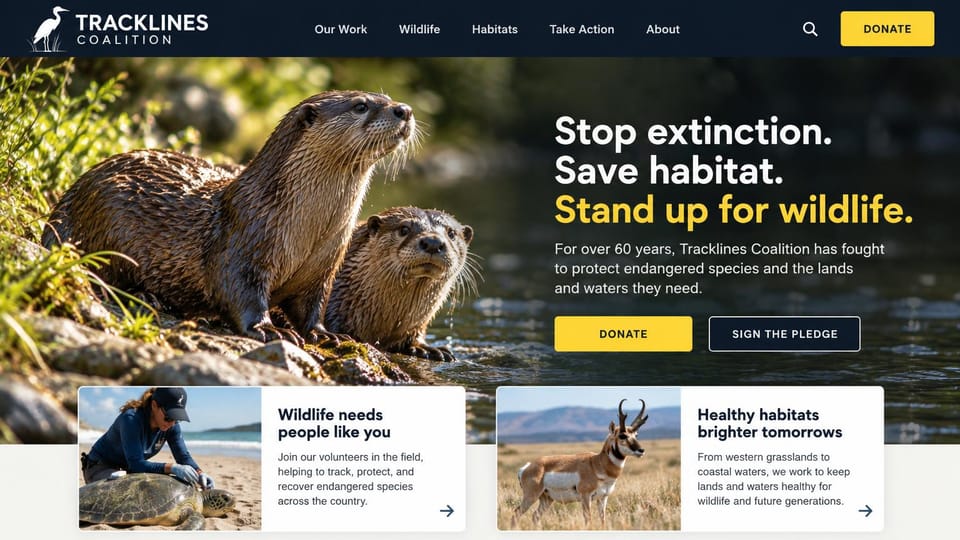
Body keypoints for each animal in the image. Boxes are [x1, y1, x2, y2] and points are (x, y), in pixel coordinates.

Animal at [42, 91, 416, 344]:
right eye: (361, 105)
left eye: (387, 98)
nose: (405, 109)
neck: (307, 229)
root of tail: (64, 203)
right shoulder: (243, 242)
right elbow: (238, 291)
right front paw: (269, 329)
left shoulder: (324, 266)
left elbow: (312, 305)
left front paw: (323, 334)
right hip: (105, 219)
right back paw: (145, 296)